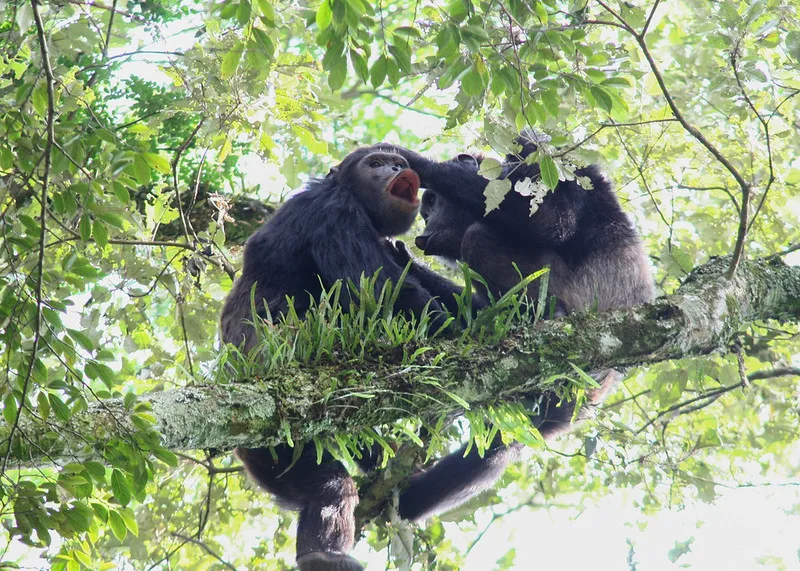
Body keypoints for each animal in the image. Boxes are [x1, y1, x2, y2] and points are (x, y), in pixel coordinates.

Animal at [219, 144, 472, 571]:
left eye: (398, 163)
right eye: (375, 163)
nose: (395, 168)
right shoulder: (335, 214)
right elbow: (385, 293)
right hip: (278, 432)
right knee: (329, 486)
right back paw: (324, 554)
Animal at [390, 137, 656, 524]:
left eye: (434, 203)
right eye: (426, 211)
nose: (424, 227)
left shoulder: (547, 163)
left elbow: (549, 221)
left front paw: (417, 163)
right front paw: (407, 265)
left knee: (478, 237)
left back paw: (546, 315)